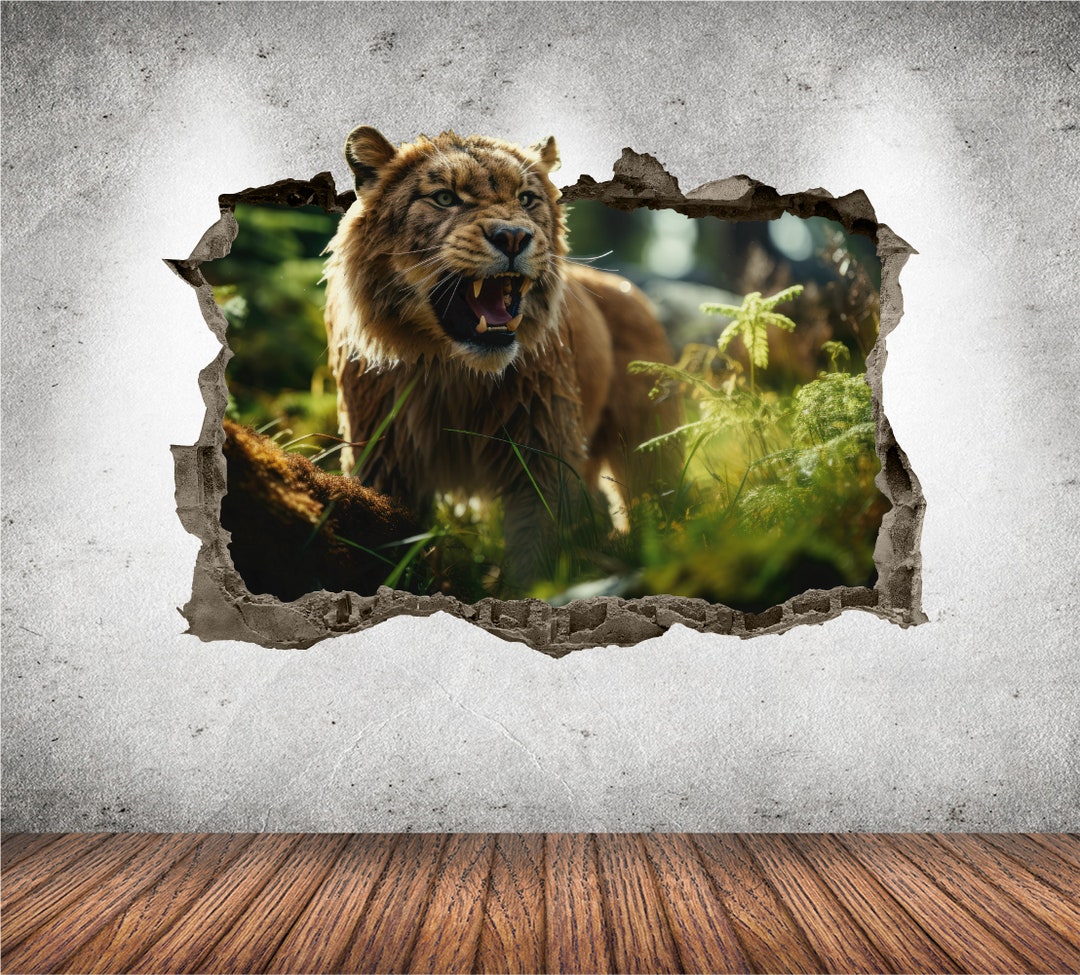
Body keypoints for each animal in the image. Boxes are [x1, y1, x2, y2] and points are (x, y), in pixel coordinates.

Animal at [323, 127, 680, 592]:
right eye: (444, 198)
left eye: (526, 199)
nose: (512, 236)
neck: (453, 371)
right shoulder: (385, 458)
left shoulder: (541, 452)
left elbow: (538, 546)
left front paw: (537, 593)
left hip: (649, 443)